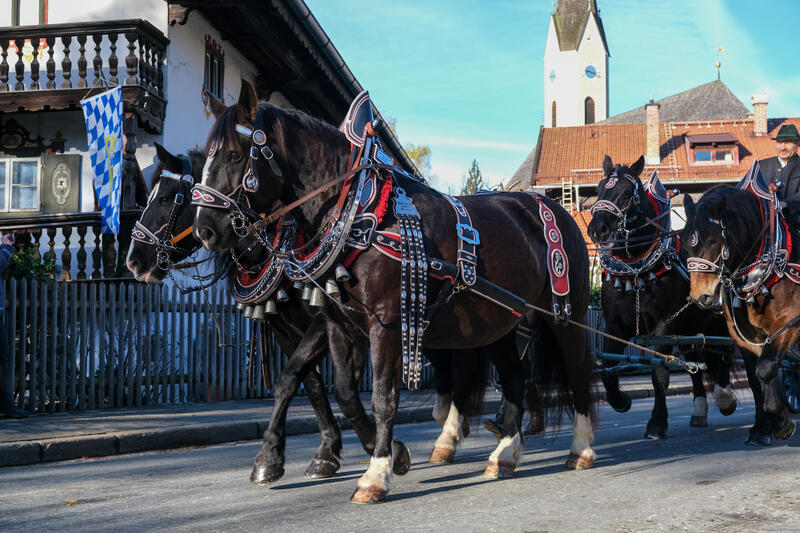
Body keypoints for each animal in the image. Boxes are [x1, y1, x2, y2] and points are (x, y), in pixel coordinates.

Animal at [191, 81, 596, 500]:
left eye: (235, 155)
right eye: (204, 159)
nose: (205, 230)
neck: (358, 211)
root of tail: (555, 208)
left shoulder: (386, 323)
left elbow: (384, 396)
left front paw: (376, 473)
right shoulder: (337, 326)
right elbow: (341, 390)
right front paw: (389, 454)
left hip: (567, 316)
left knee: (578, 370)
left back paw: (580, 448)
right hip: (498, 322)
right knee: (514, 377)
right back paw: (505, 454)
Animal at [584, 155, 764, 440]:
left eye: (626, 193)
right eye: (600, 189)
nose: (597, 229)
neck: (637, 268)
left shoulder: (664, 327)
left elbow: (660, 373)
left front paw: (656, 422)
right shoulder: (615, 326)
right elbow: (609, 372)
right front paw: (621, 401)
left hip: (716, 320)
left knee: (723, 354)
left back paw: (724, 397)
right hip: (692, 325)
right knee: (698, 361)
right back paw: (700, 409)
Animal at [684, 179, 796, 440]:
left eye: (712, 241)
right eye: (685, 242)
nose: (700, 297)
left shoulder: (789, 322)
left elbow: (766, 368)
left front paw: (782, 424)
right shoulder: (745, 336)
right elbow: (757, 378)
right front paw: (765, 426)